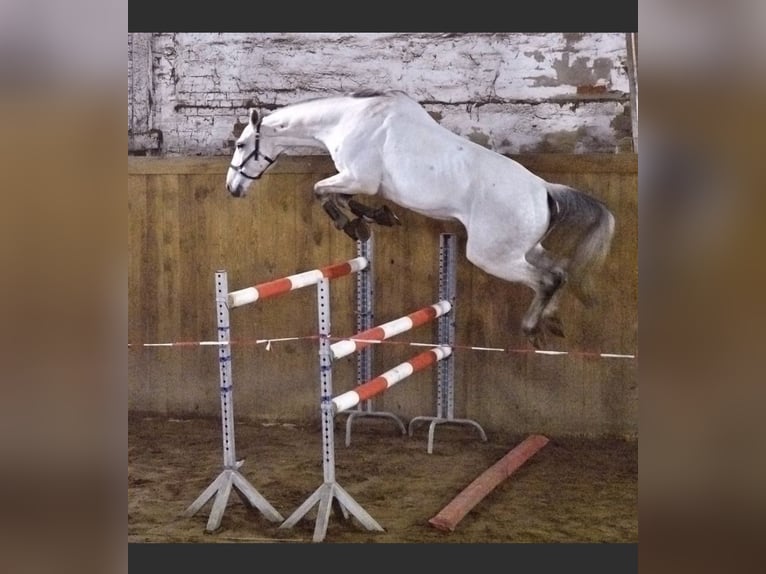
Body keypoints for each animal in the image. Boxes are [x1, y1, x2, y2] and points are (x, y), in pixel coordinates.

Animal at [225, 89, 615, 349]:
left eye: (242, 145)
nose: (232, 188)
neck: (348, 120)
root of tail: (544, 190)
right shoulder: (360, 182)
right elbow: (344, 197)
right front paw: (376, 217)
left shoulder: (358, 177)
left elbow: (320, 190)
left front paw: (353, 225)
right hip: (524, 250)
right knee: (560, 271)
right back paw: (552, 322)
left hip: (493, 257)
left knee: (547, 279)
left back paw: (533, 328)